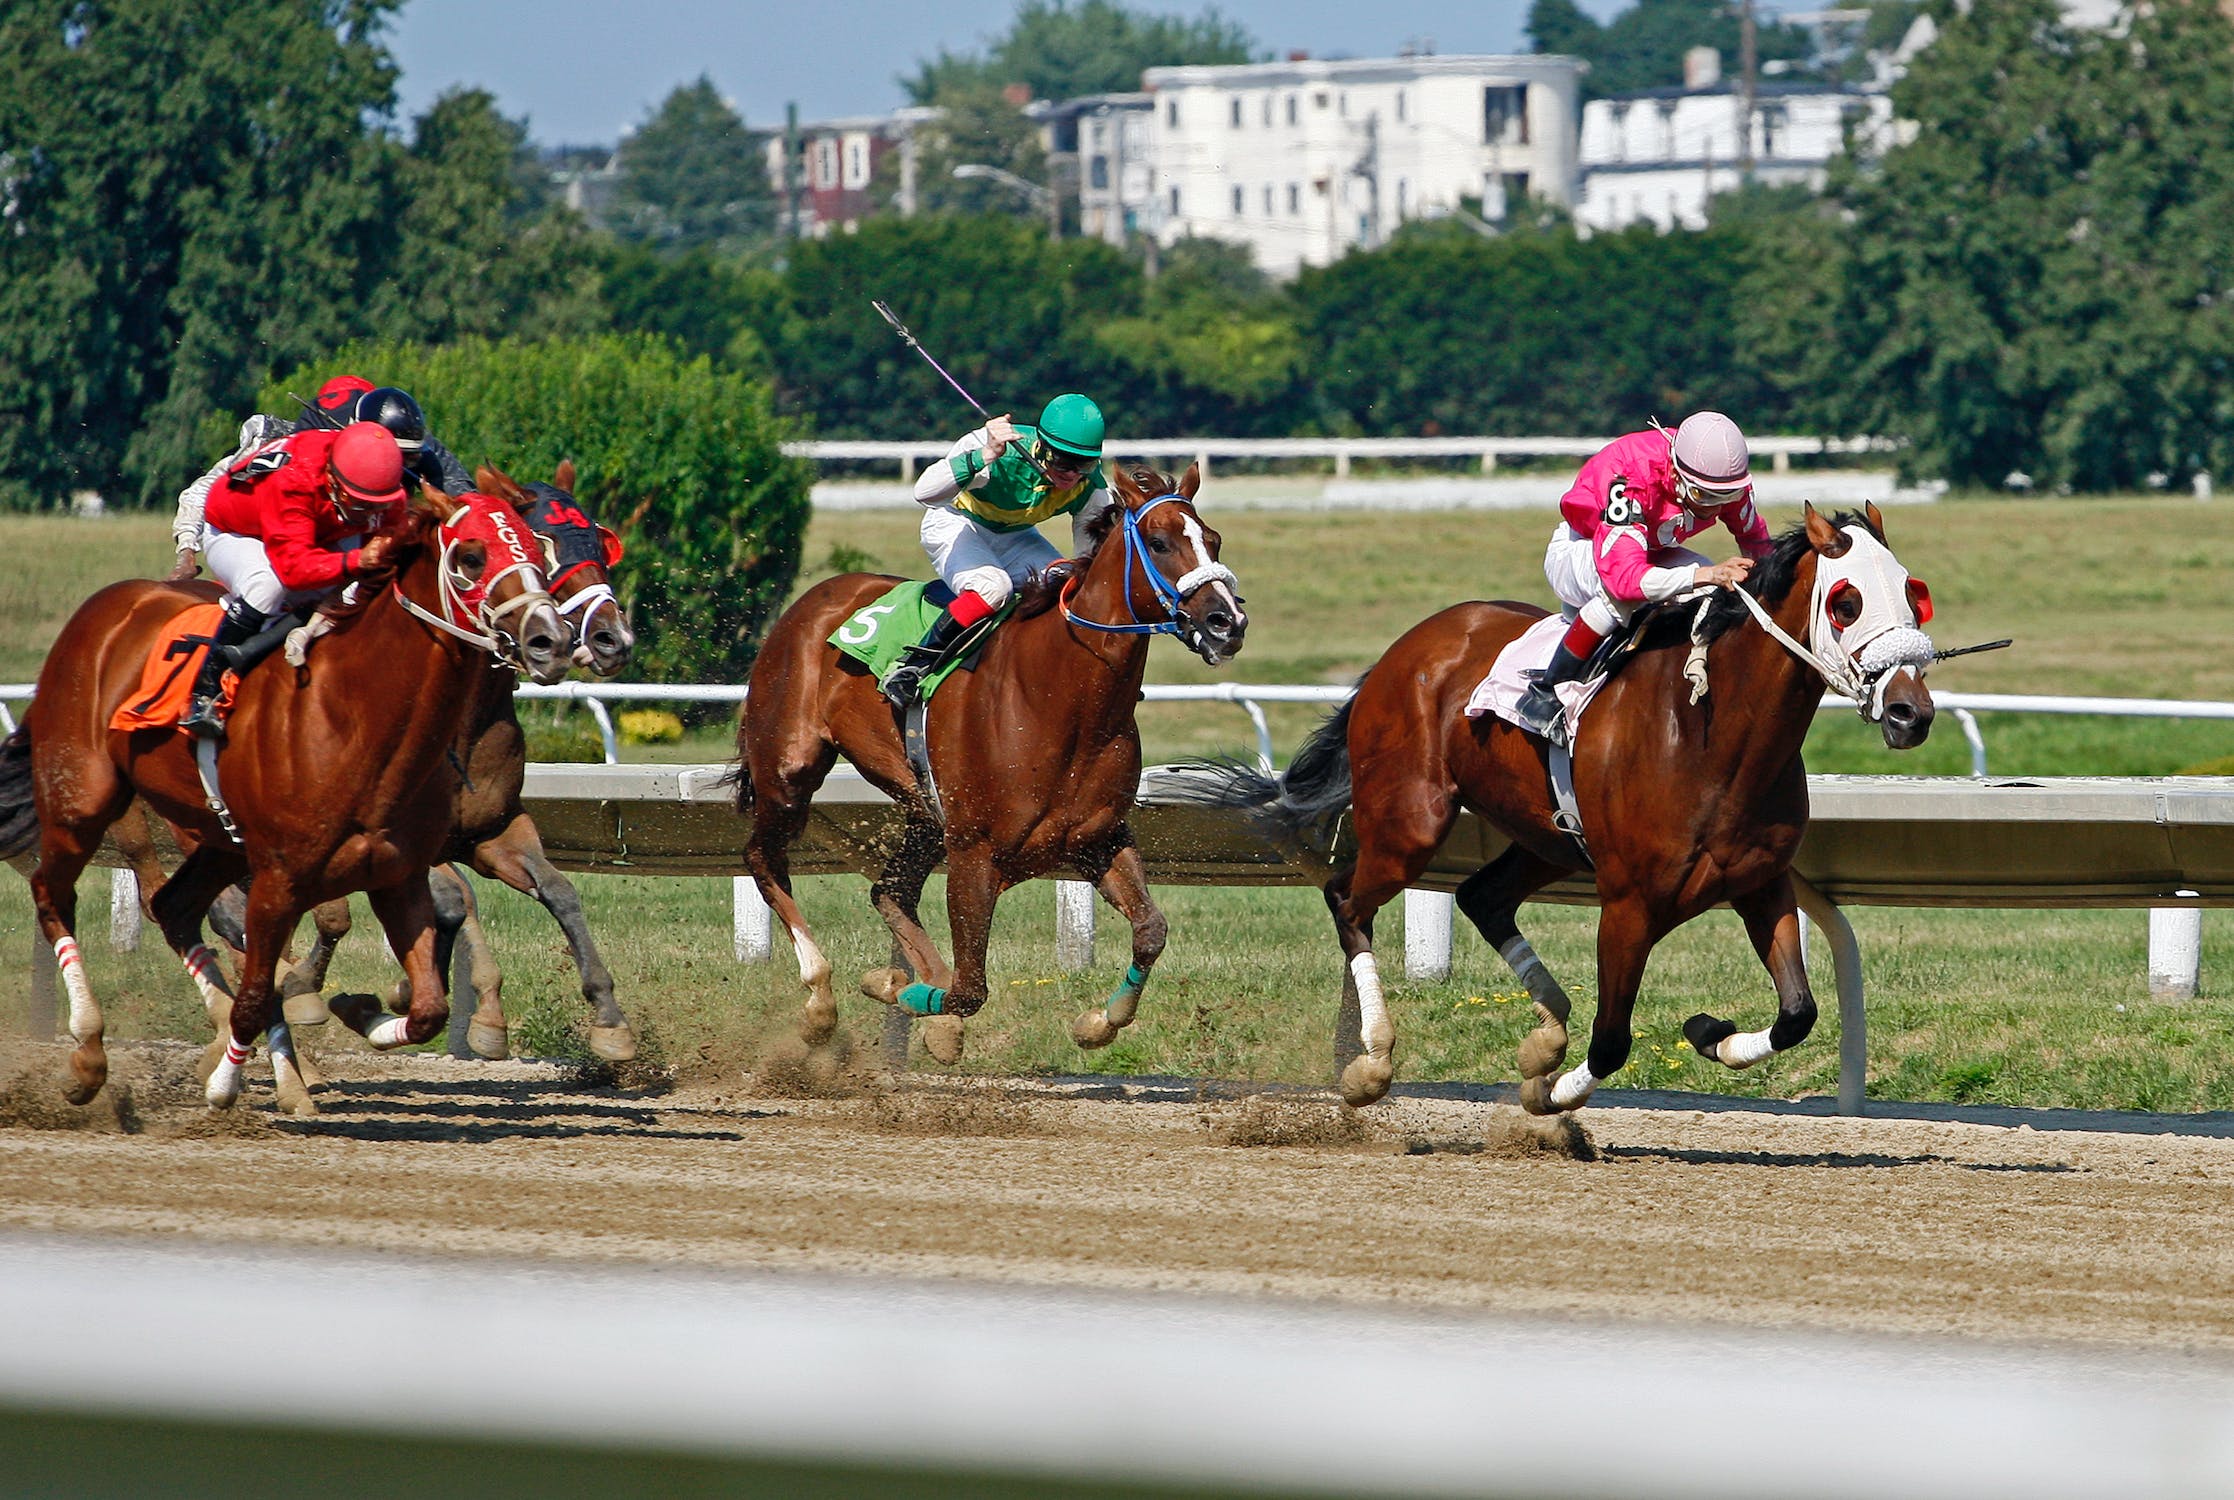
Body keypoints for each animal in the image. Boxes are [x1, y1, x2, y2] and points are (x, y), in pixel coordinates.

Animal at [0, 487, 567, 1108]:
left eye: (537, 548)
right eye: (469, 556)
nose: (551, 639)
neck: (357, 713)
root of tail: (106, 606)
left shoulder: (397, 875)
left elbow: (427, 1009)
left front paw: (359, 1010)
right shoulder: (278, 879)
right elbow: (255, 995)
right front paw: (227, 1083)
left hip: (219, 842)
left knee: (171, 907)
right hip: (84, 799)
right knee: (54, 895)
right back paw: (87, 1053)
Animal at [737, 462, 1251, 1064]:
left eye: (1213, 540)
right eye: (1160, 542)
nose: (1226, 622)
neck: (1058, 698)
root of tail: (815, 599)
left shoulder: (1099, 838)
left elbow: (1151, 930)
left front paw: (1097, 1022)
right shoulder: (974, 852)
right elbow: (969, 988)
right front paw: (907, 996)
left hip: (923, 808)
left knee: (889, 890)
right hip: (789, 767)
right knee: (764, 858)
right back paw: (820, 999)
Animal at [1188, 505, 1939, 1113]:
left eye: (1913, 592)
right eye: (1845, 601)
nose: (1912, 711)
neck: (1712, 732)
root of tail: (1404, 649)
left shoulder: (1761, 883)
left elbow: (1799, 1013)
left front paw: (1709, 1034)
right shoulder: (1630, 904)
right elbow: (1611, 1040)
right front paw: (1548, 1098)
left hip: (1547, 838)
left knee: (1483, 897)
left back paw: (1547, 1031)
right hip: (1411, 822)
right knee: (1348, 900)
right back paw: (1372, 1061)